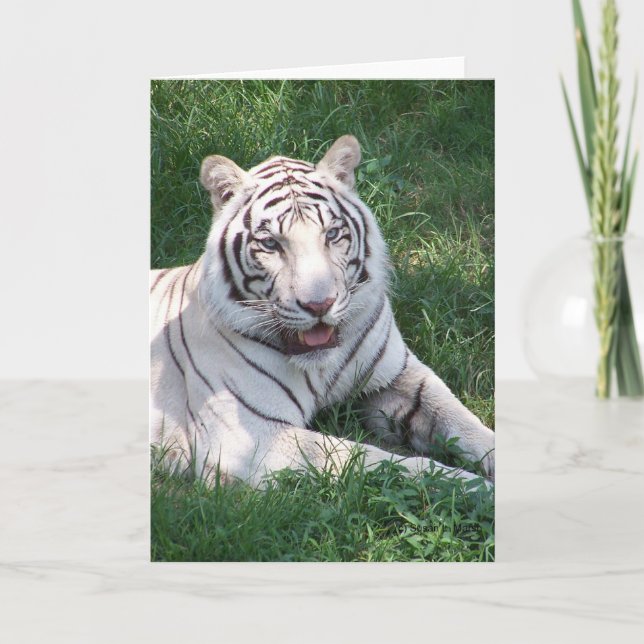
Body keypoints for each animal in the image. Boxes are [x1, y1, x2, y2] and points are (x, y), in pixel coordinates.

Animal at [150, 135, 494, 487]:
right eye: (271, 244)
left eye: (331, 234)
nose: (319, 305)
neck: (320, 365)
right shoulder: (250, 437)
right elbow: (373, 459)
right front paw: (471, 485)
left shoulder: (398, 377)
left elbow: (461, 420)